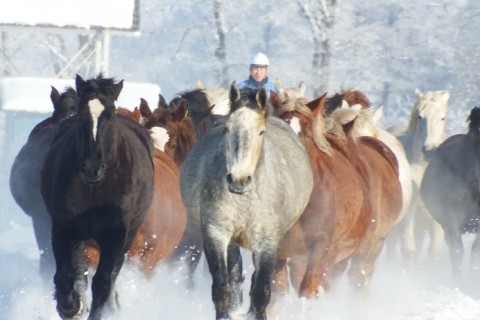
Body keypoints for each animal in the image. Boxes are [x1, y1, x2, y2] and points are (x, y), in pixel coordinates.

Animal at [41, 75, 155, 320]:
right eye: (81, 114)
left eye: (110, 114)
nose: (92, 168)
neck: (95, 189)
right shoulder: (64, 227)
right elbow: (65, 276)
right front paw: (70, 306)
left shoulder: (116, 234)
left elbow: (103, 282)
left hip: (129, 235)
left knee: (112, 274)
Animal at [182, 84, 314, 318]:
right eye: (227, 129)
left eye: (261, 132)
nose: (238, 179)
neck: (246, 199)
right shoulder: (216, 233)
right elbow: (222, 288)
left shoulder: (269, 241)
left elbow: (261, 292)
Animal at [388, 88, 448, 264]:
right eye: (420, 116)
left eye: (442, 117)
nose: (429, 150)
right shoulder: (408, 214)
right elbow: (409, 250)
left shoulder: (436, 214)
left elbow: (433, 252)